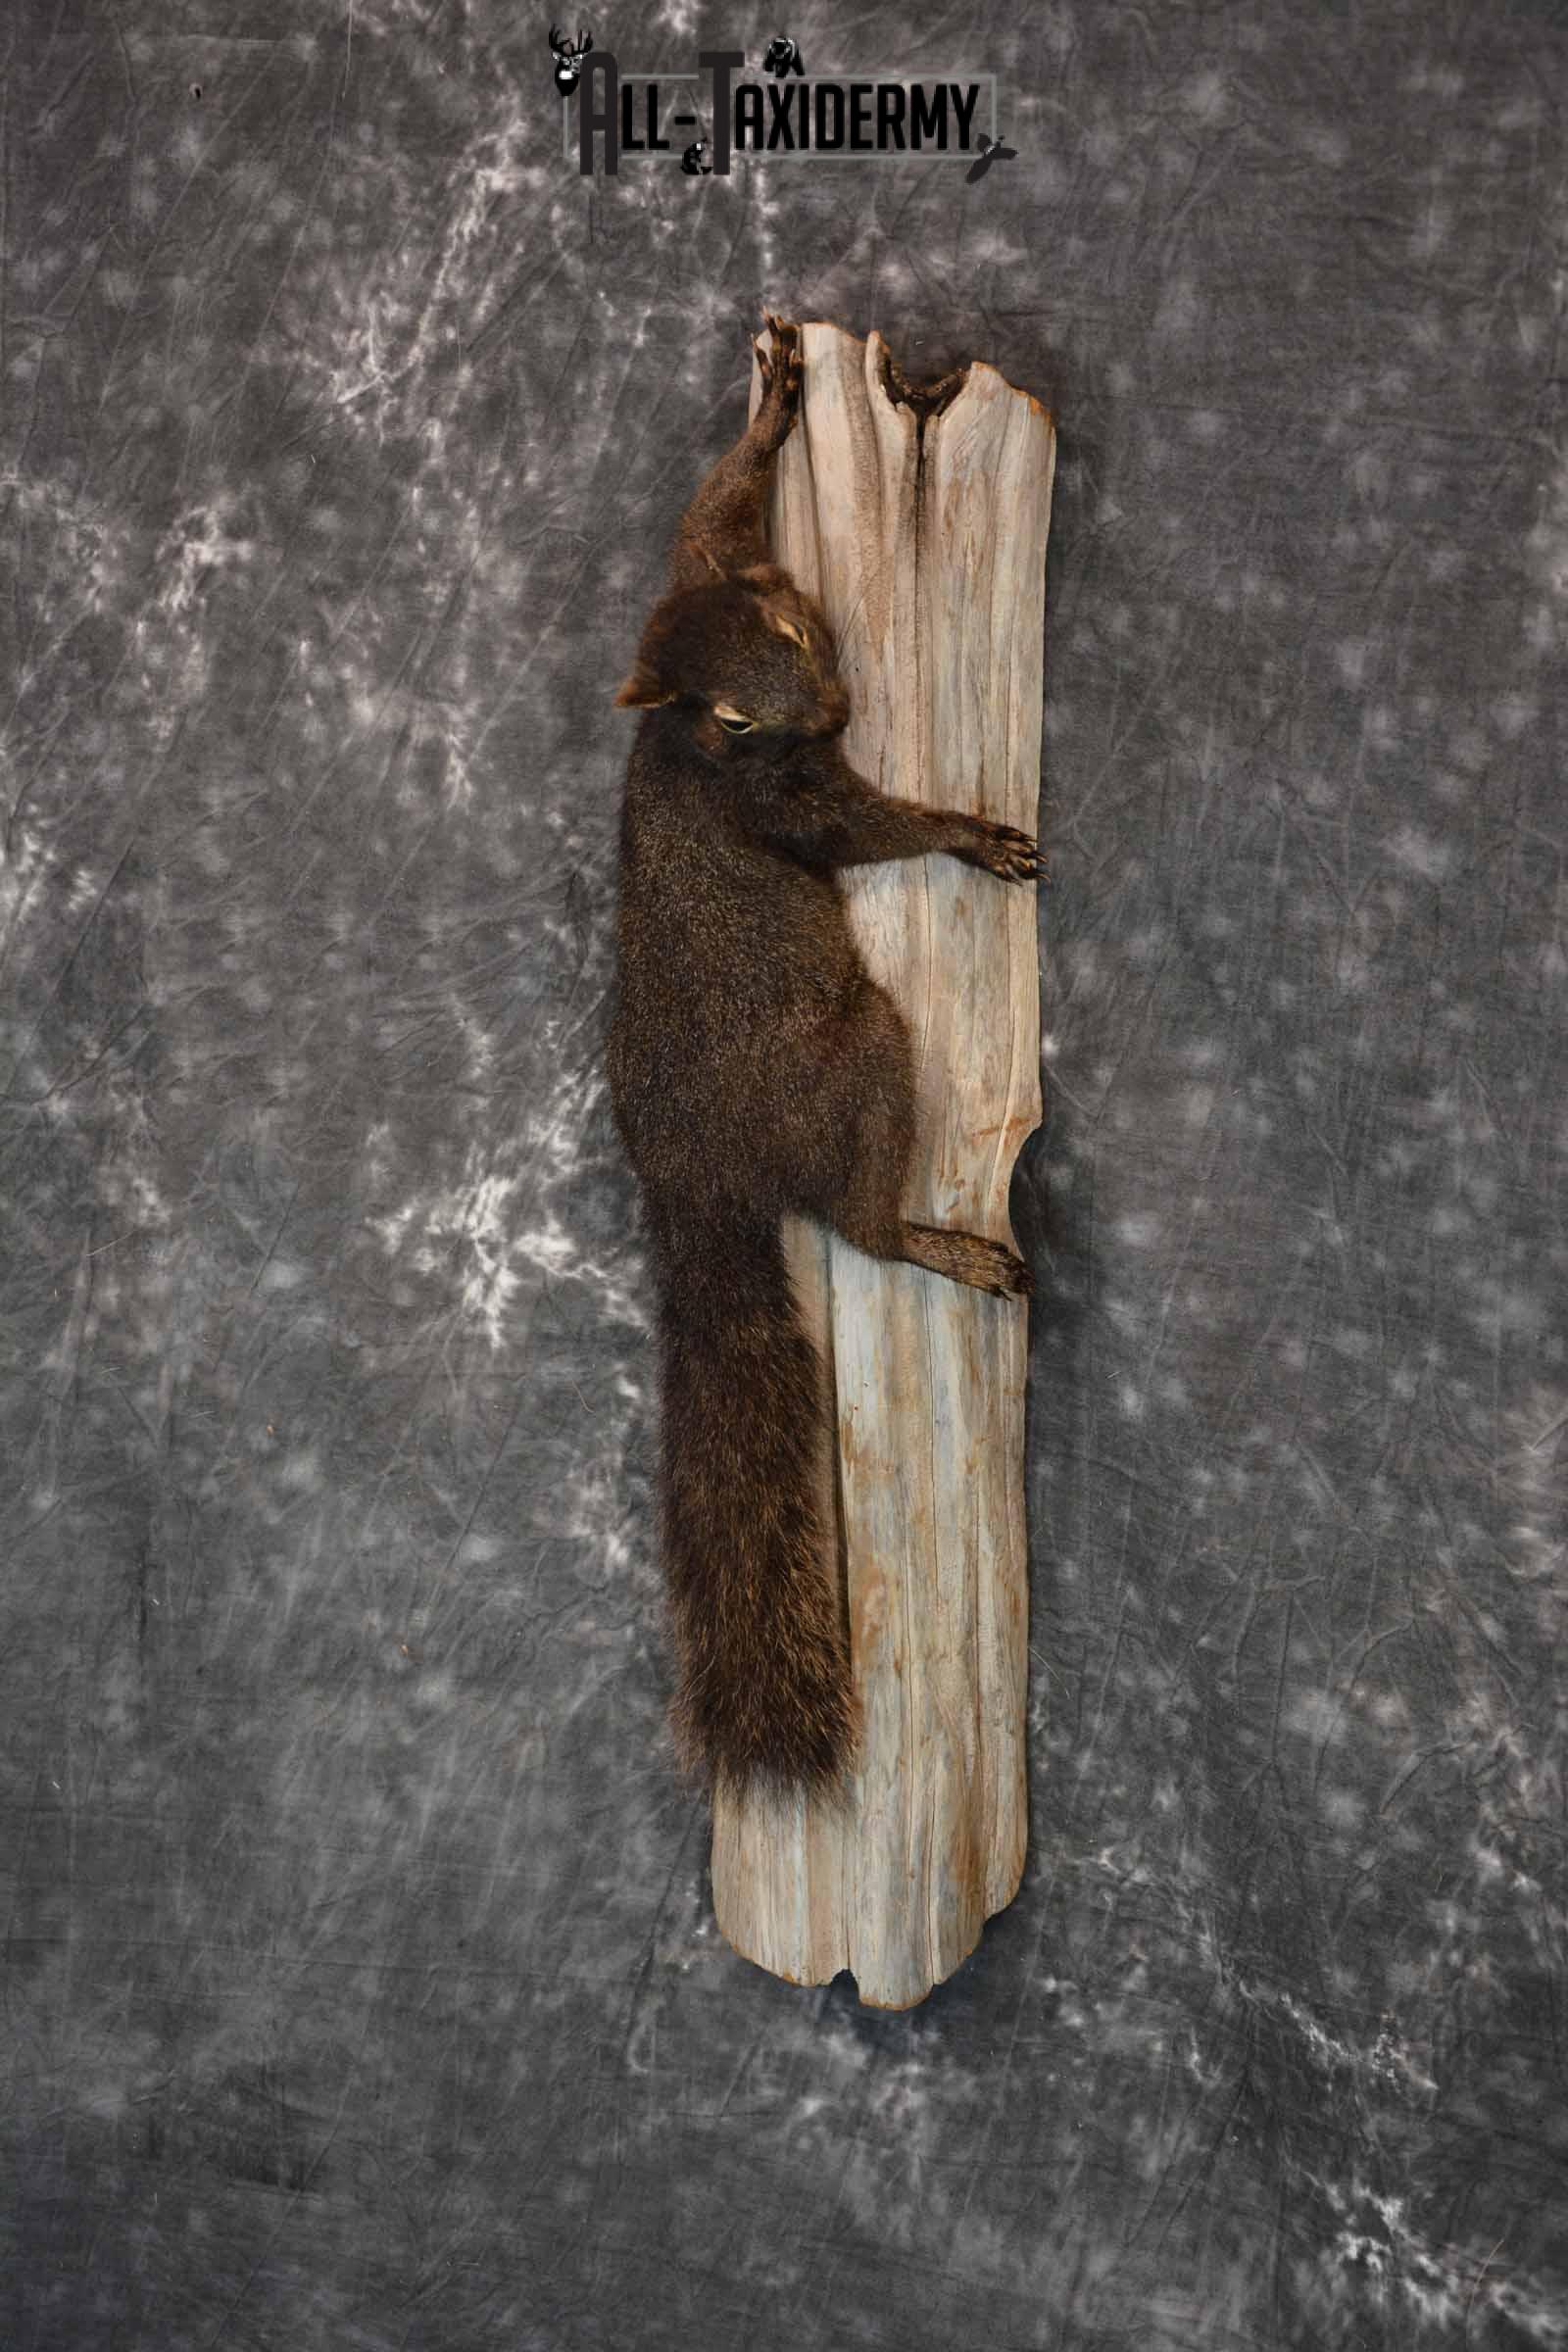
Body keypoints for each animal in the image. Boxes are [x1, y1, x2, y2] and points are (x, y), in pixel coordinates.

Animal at [607, 315, 1042, 1800]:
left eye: (796, 624)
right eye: (734, 722)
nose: (838, 702)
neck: (677, 737)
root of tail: (690, 1176)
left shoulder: (705, 560)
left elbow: (713, 507)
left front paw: (777, 395)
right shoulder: (788, 804)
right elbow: (866, 828)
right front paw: (965, 831)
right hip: (854, 1054)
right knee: (856, 1227)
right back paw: (940, 1242)